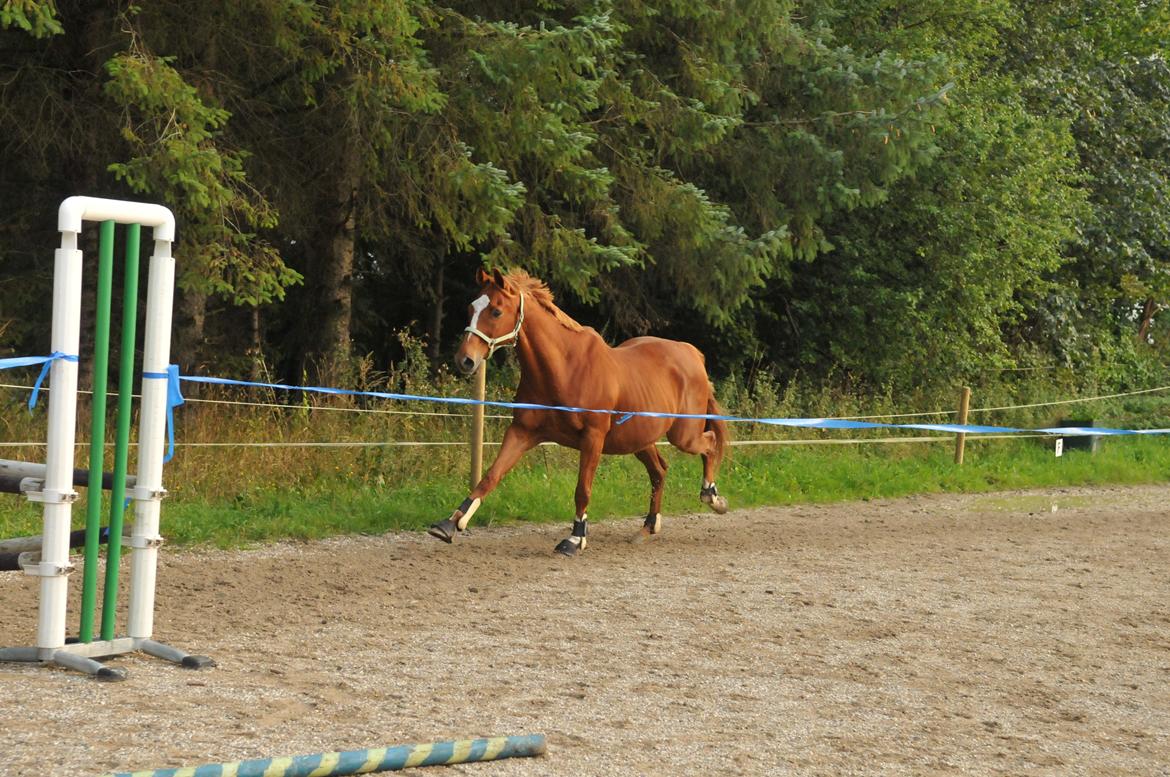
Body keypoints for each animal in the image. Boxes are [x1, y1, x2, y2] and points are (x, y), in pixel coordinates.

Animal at [425, 270, 725, 554]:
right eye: (471, 308)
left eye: (496, 311)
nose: (465, 360)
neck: (564, 368)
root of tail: (693, 354)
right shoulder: (523, 432)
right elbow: (491, 476)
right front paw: (450, 523)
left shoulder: (593, 438)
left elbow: (582, 490)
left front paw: (574, 539)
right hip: (638, 440)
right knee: (660, 471)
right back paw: (648, 528)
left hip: (683, 435)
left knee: (710, 444)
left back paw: (713, 498)